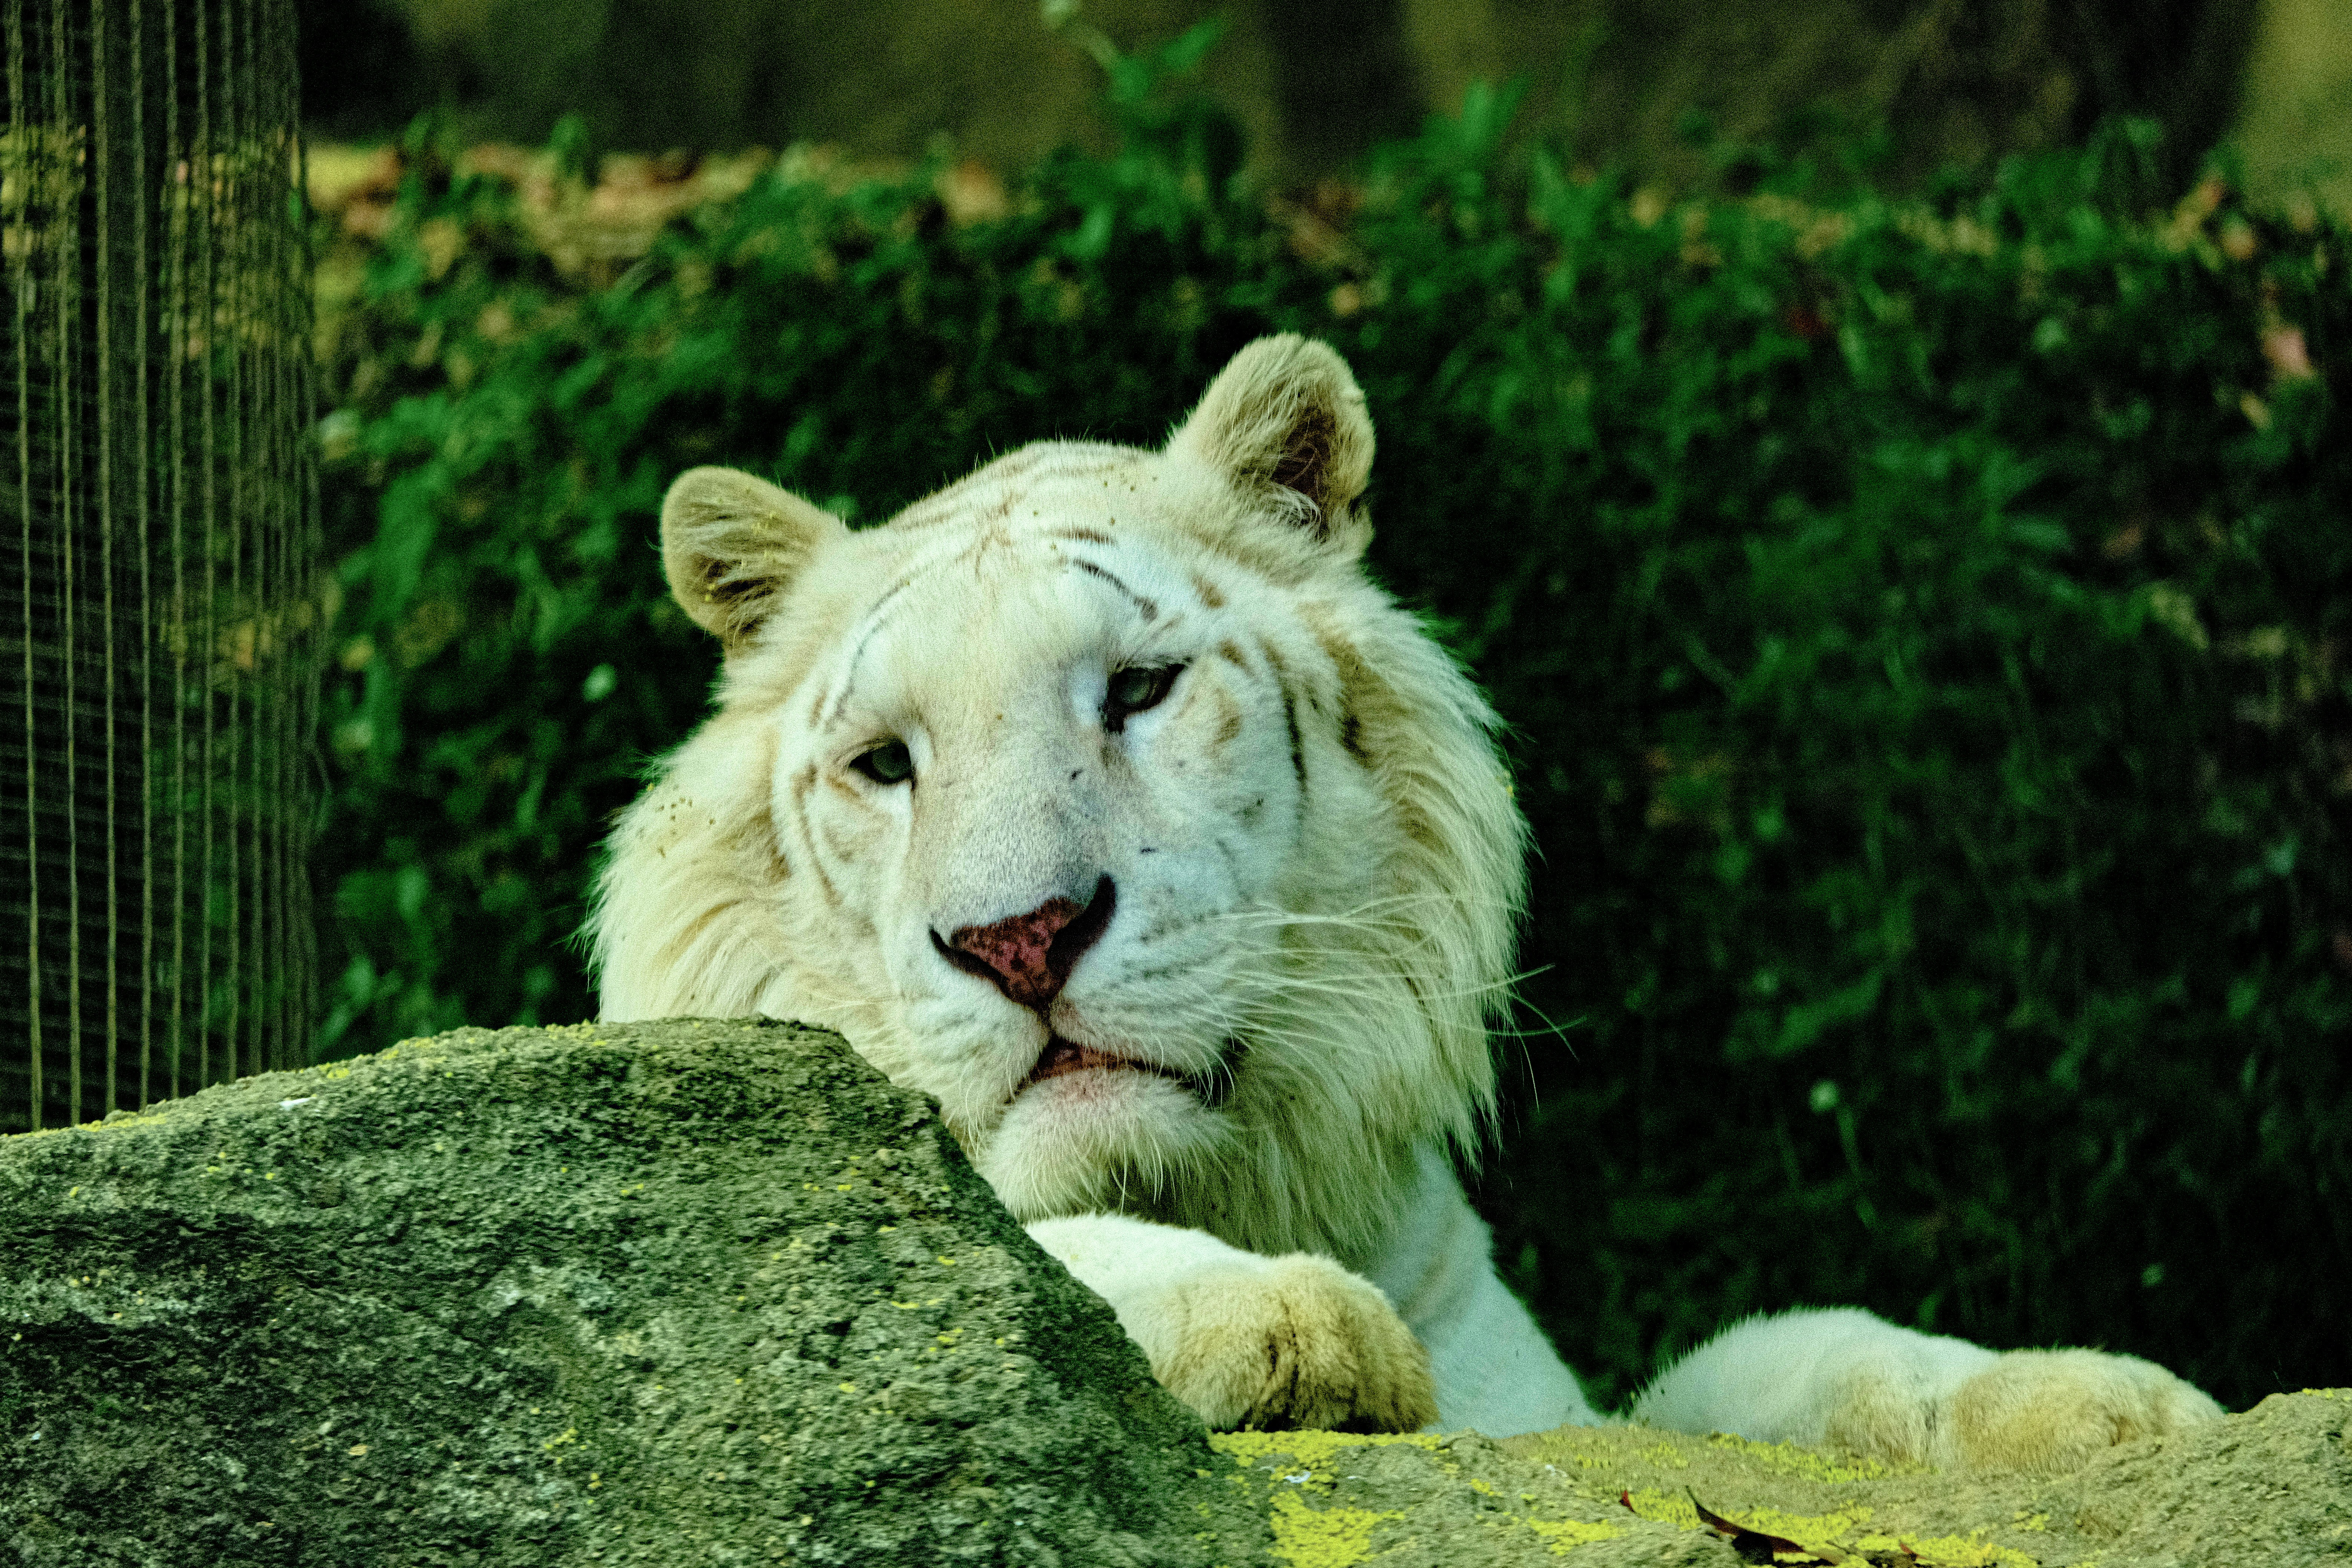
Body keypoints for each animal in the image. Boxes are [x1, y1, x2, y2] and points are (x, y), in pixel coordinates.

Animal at [589, 334, 2222, 1463]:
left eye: (1138, 690)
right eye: (886, 763)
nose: (1020, 938)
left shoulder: (1563, 1412)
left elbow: (1811, 1350)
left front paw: (2110, 1398)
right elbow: (1002, 1251)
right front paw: (1282, 1317)